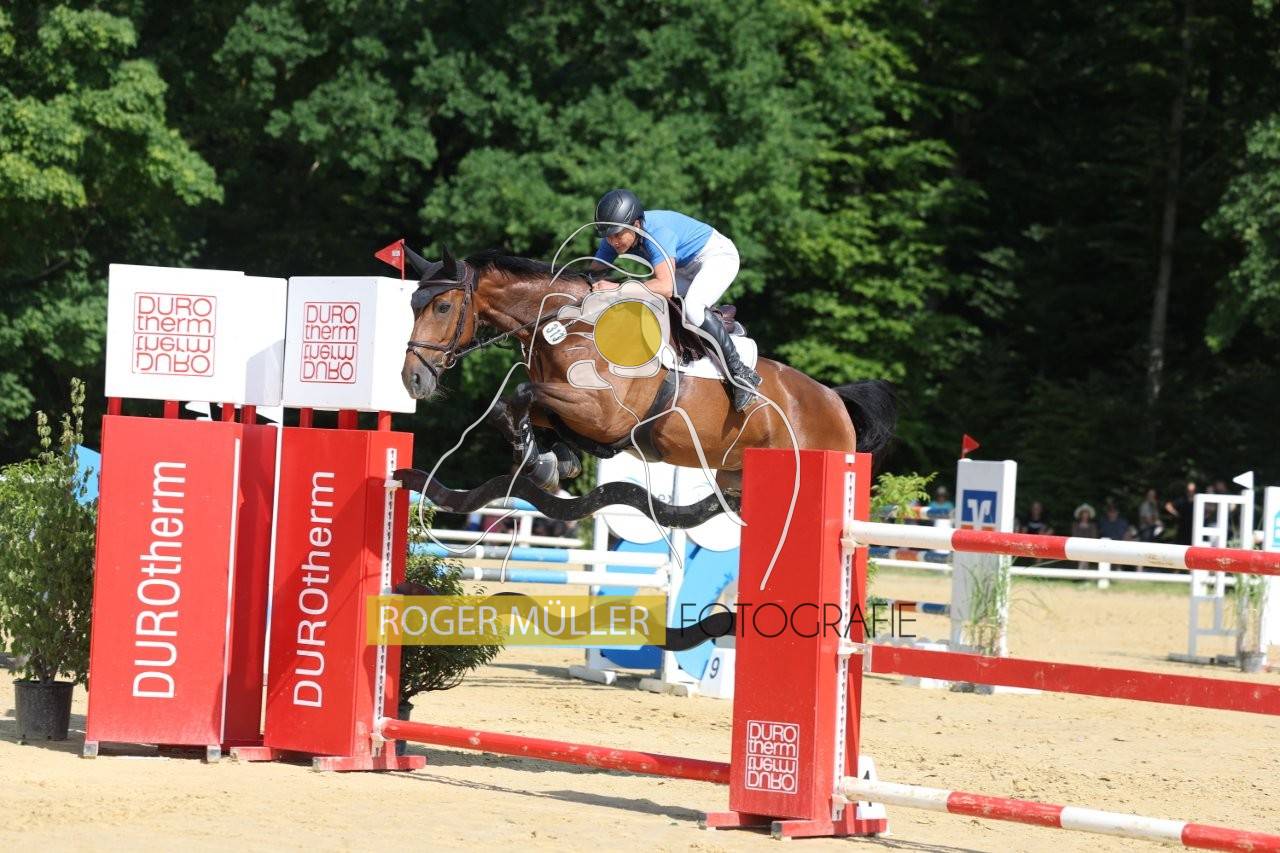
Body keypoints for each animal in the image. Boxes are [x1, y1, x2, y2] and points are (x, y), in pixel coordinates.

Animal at [400, 247, 896, 490]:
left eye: (442, 306)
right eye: (411, 305)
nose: (413, 378)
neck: (568, 324)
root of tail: (835, 400)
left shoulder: (605, 414)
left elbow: (521, 395)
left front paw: (543, 461)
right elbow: (517, 410)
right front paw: (549, 461)